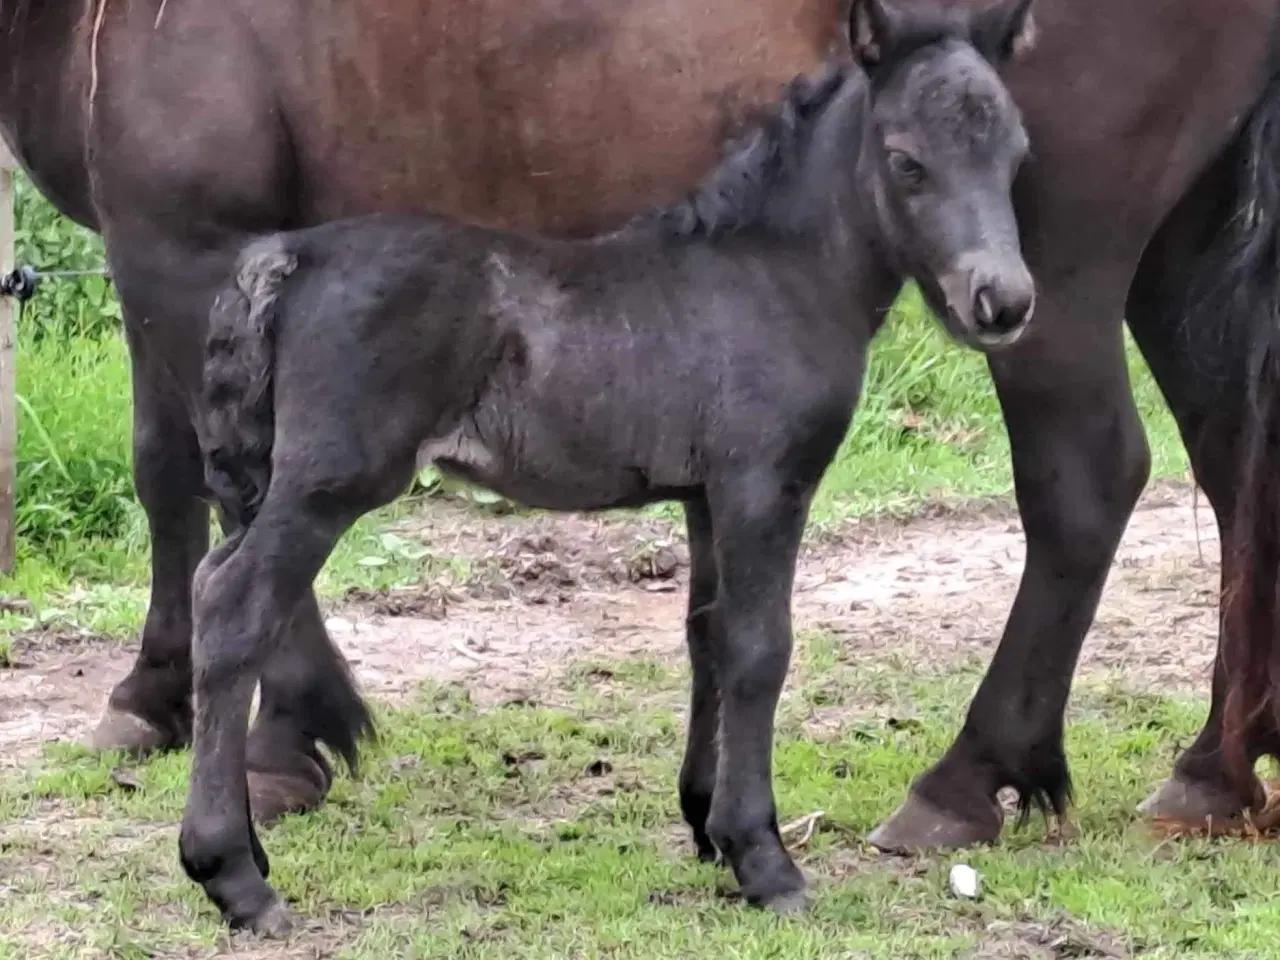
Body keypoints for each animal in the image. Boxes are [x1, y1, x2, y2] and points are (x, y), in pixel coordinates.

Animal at [0, 0, 1274, 855]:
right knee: (1231, 473)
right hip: (1159, 249)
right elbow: (182, 473)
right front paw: (177, 700)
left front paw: (275, 736)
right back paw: (1213, 775)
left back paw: (971, 778)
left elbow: (207, 487)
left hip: (1061, 266)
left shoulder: (182, 248)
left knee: (1084, 482)